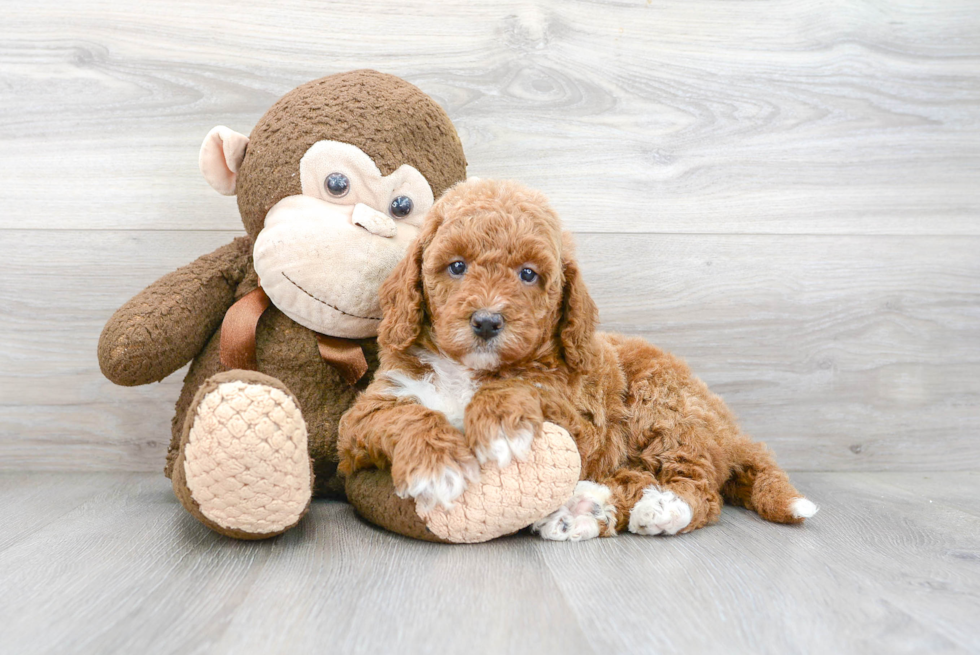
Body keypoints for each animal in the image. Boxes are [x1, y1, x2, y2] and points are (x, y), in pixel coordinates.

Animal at [340, 178, 816, 540]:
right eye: (457, 267)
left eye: (528, 274)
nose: (487, 322)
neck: (469, 370)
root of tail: (730, 430)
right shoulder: (364, 417)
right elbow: (403, 415)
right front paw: (438, 469)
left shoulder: (581, 419)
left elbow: (524, 386)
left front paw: (498, 424)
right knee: (639, 477)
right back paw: (585, 510)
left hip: (664, 403)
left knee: (699, 486)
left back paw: (658, 508)